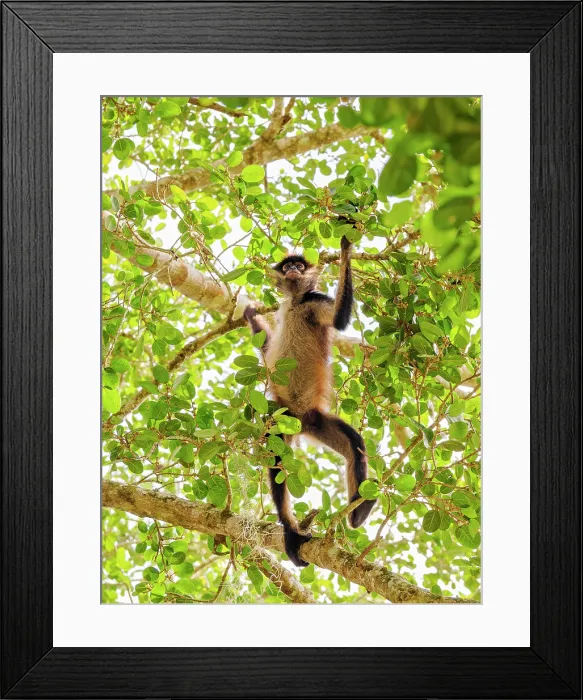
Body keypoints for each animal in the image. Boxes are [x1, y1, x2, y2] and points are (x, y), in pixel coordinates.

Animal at [243, 233, 376, 567]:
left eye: (300, 266)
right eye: (287, 265)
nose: (292, 268)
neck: (296, 302)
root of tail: (302, 420)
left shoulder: (315, 302)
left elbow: (338, 320)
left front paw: (346, 247)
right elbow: (267, 349)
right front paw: (250, 314)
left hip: (317, 421)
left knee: (355, 445)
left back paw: (358, 511)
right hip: (282, 421)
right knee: (276, 463)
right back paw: (291, 532)